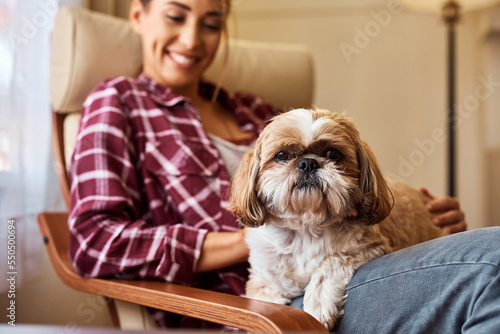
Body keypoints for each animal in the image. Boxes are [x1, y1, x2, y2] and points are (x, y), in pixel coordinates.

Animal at [229, 108, 444, 330]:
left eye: (333, 154)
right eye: (281, 155)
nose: (308, 163)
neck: (306, 226)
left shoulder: (367, 247)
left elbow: (330, 262)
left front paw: (318, 302)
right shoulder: (264, 283)